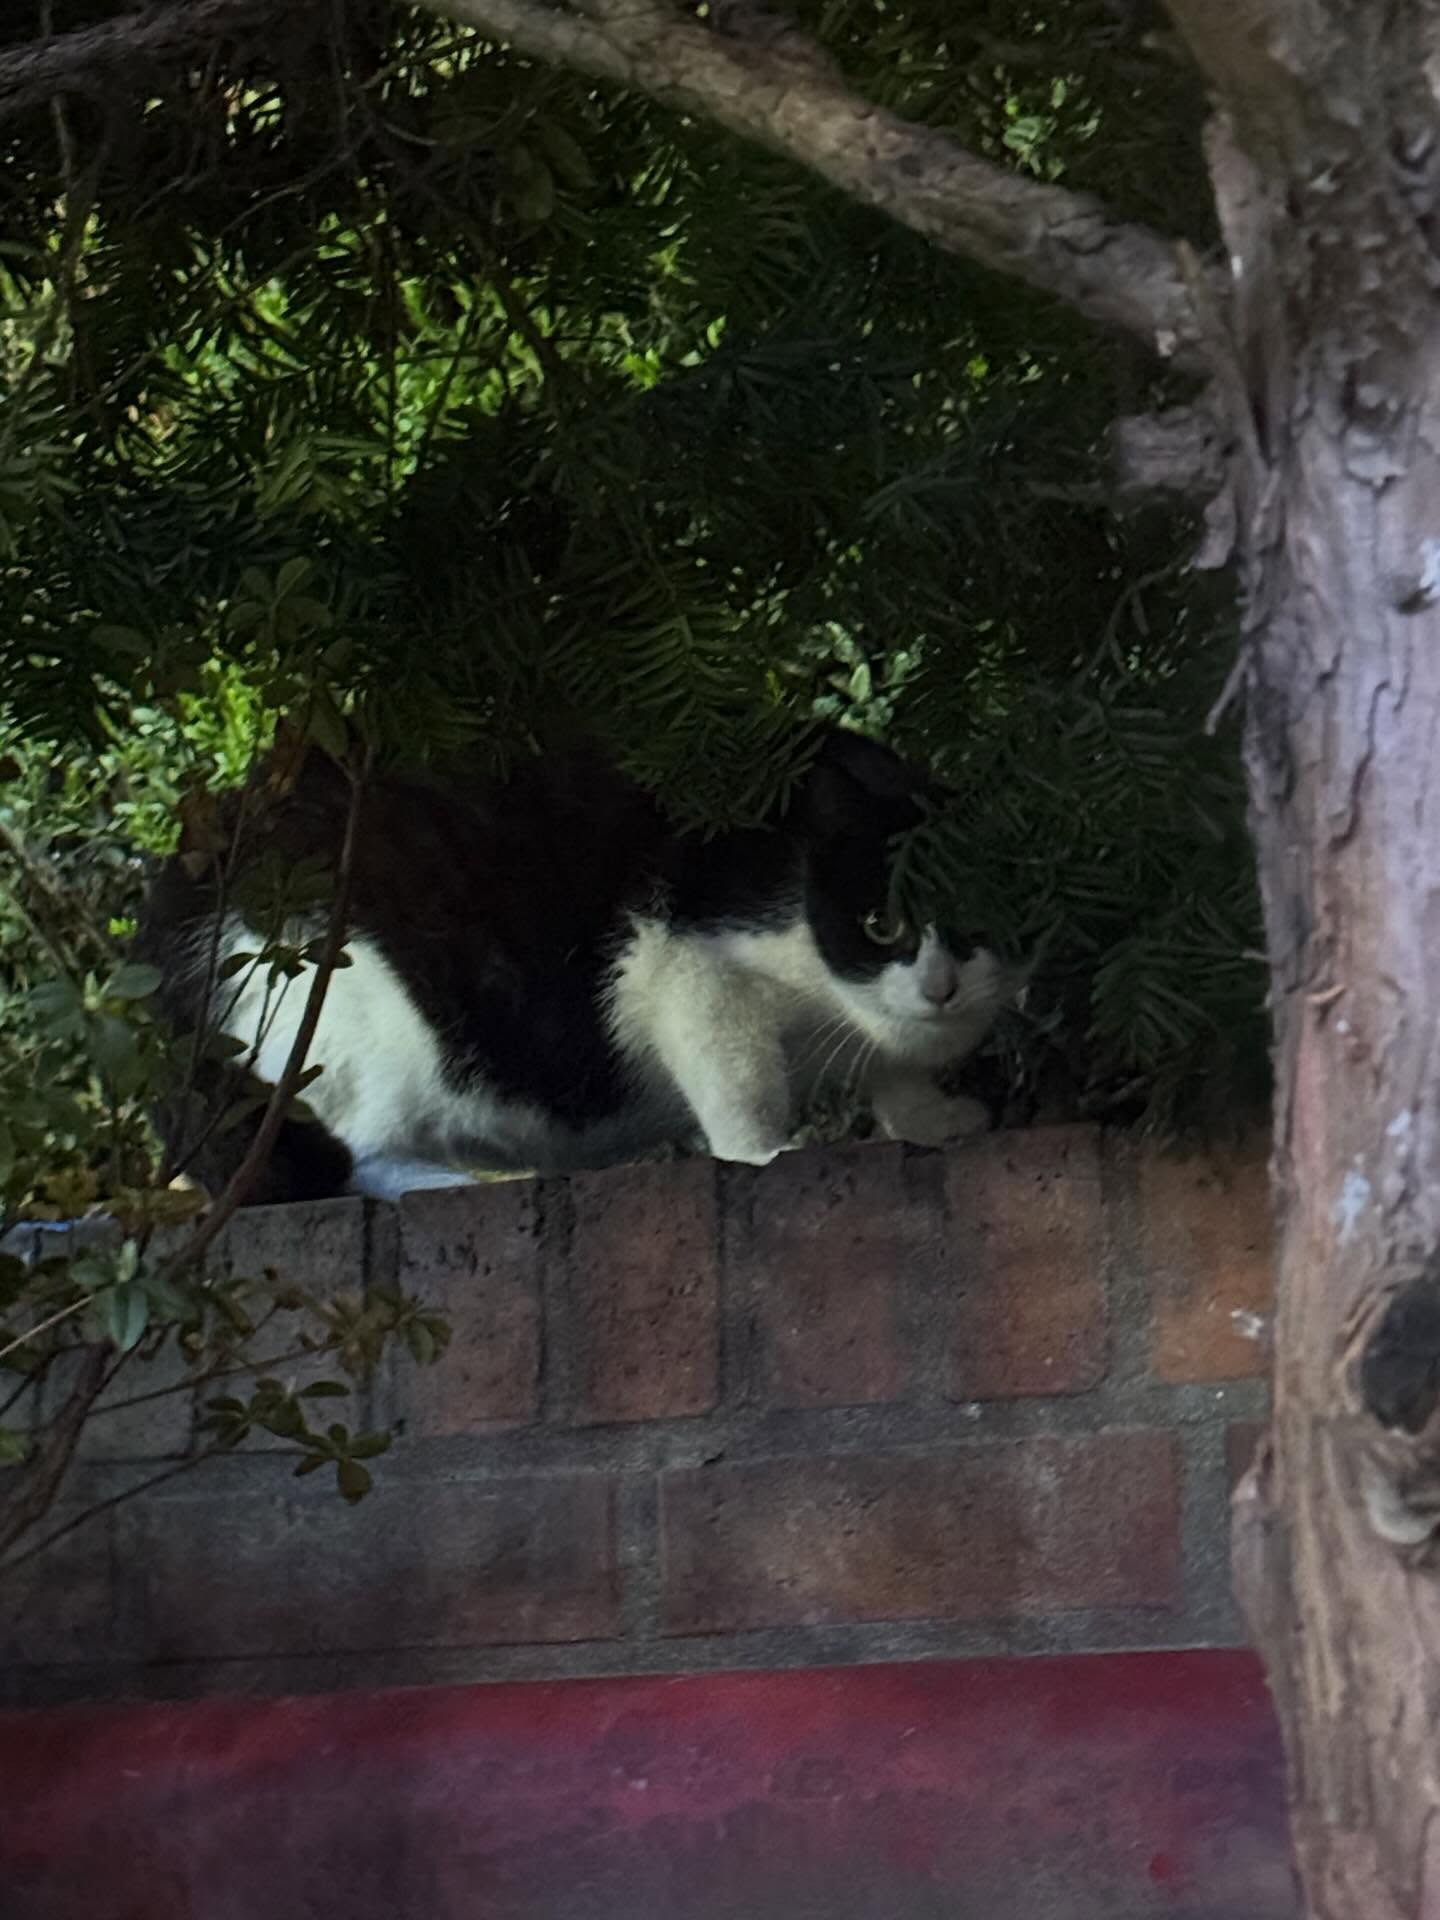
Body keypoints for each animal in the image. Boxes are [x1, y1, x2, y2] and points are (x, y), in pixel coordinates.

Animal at [137, 728, 1025, 1204]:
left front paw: (931, 1117)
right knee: (349, 1149)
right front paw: (769, 1154)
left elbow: (902, 1073)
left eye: (980, 915)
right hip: (350, 987)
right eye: (884, 921)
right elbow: (740, 1088)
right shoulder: (687, 966)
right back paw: (460, 1185)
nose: (941, 986)